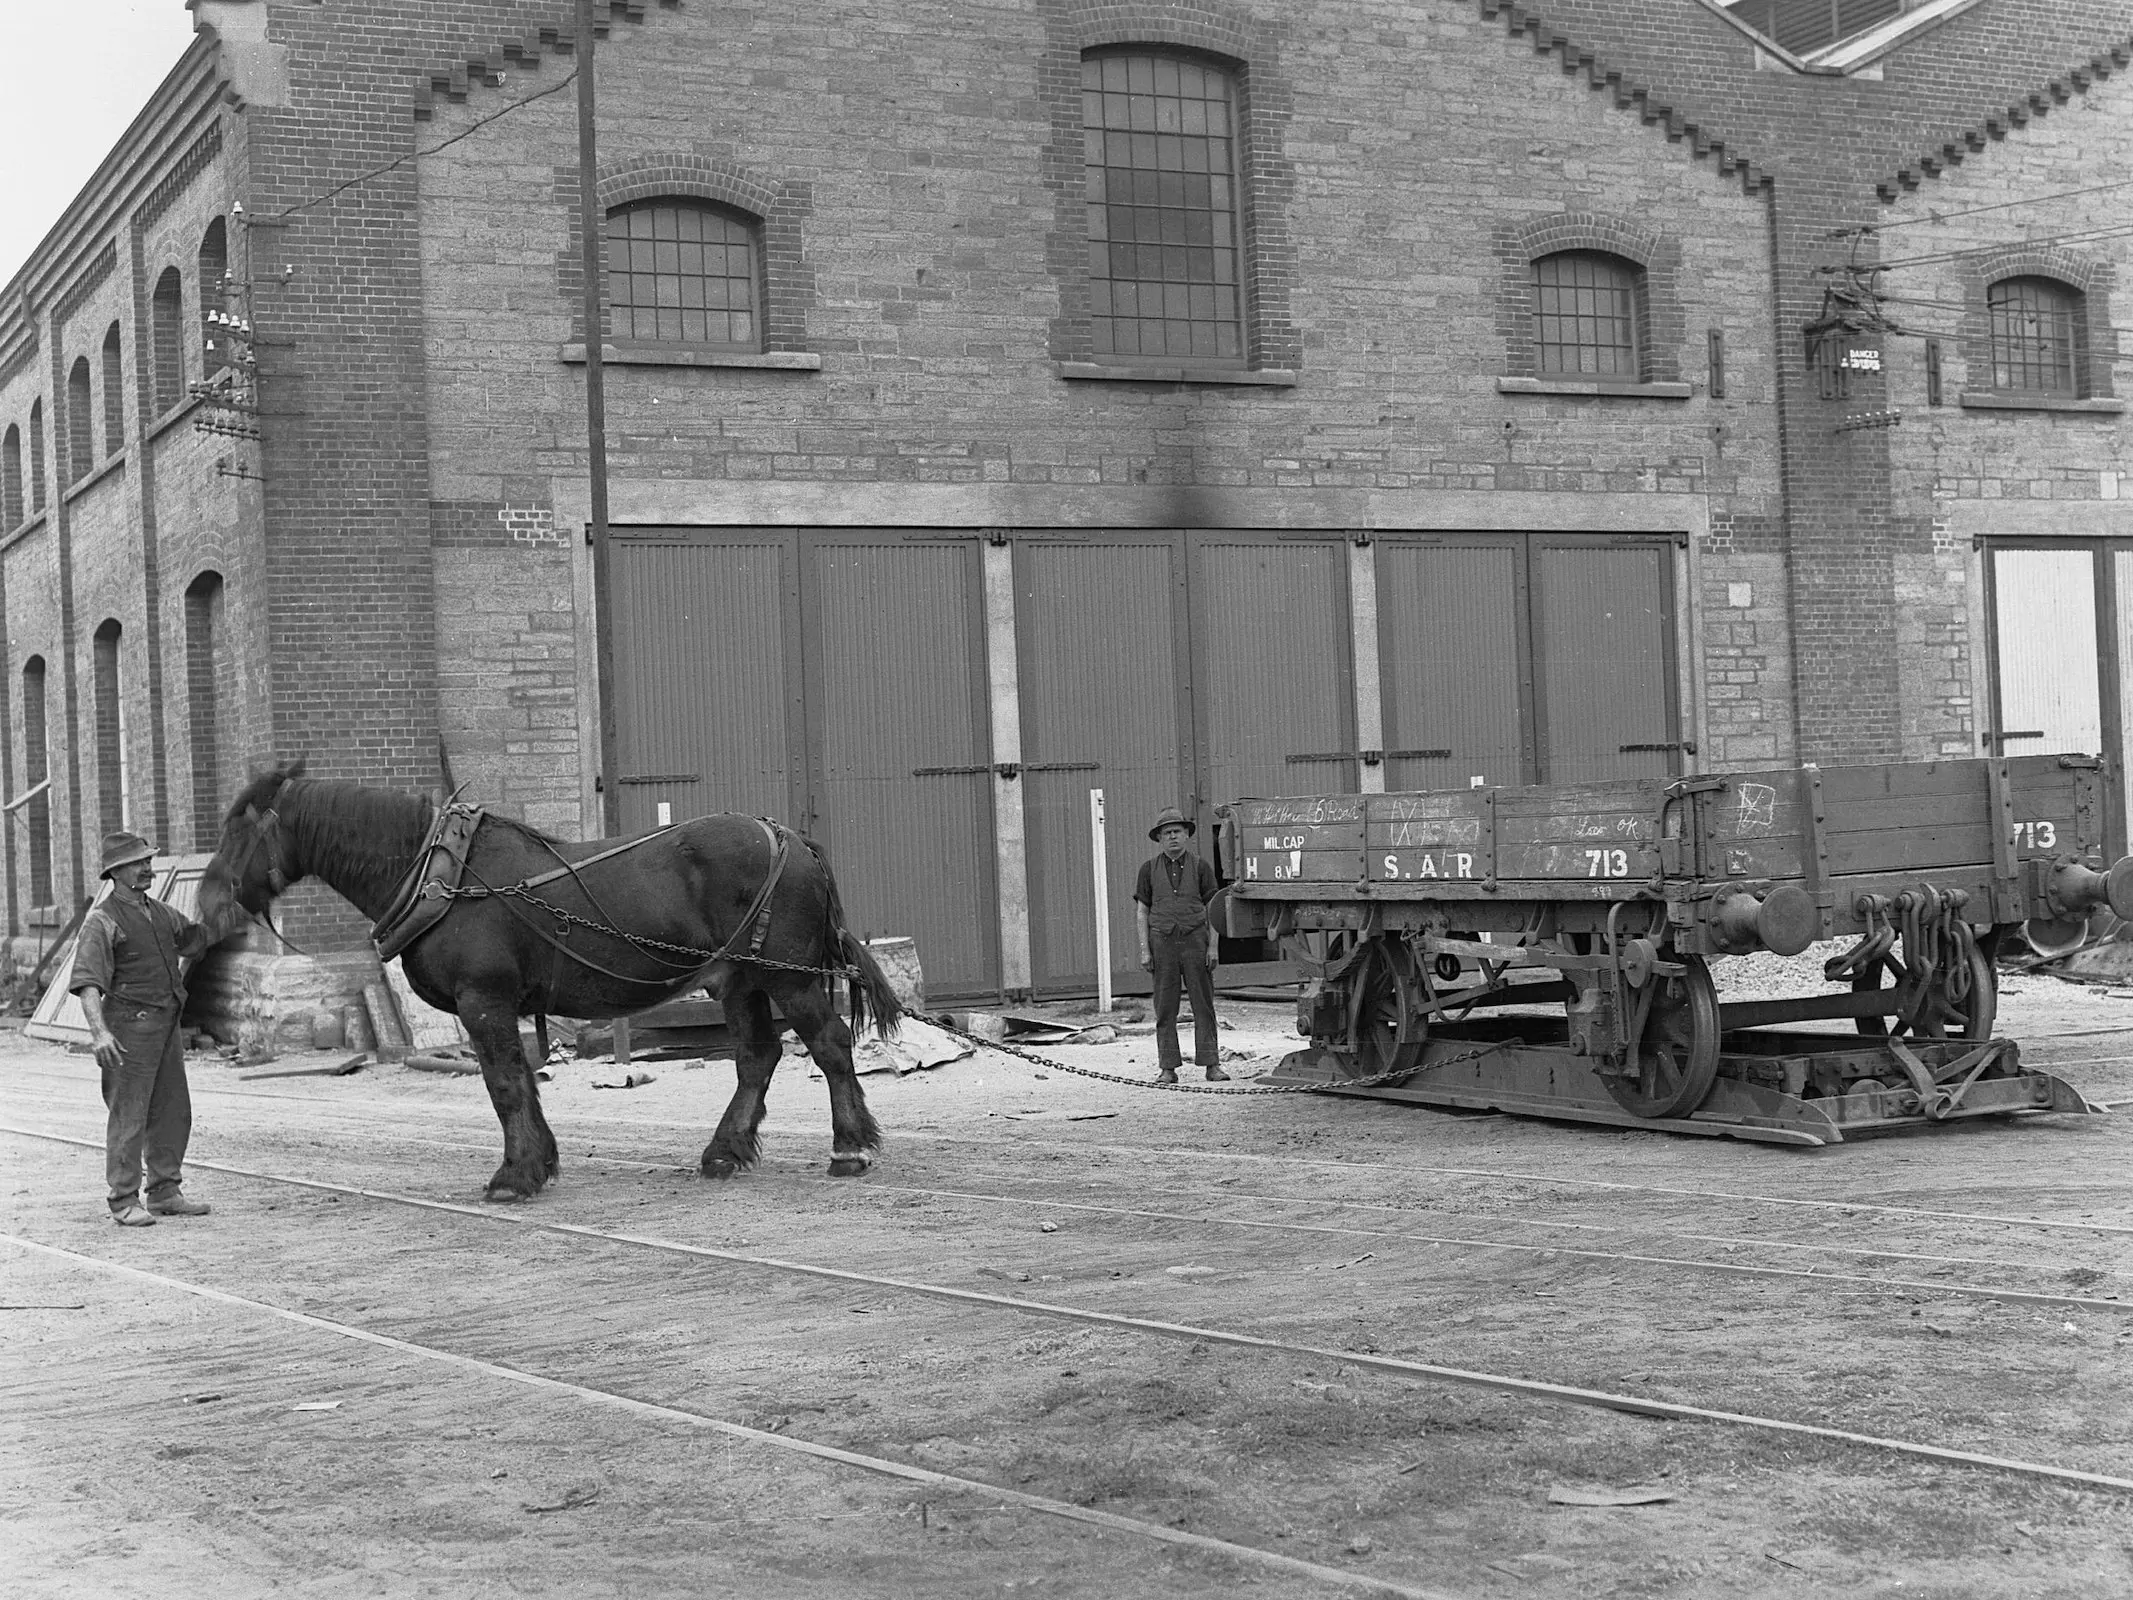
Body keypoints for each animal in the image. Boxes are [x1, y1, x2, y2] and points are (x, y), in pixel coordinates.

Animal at [200, 763, 900, 1203]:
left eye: (239, 828)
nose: (206, 901)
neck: (442, 877)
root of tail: (790, 838)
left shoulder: (484, 1000)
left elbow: (505, 1086)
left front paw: (514, 1175)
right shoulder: (498, 1007)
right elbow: (523, 1083)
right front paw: (539, 1162)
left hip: (787, 978)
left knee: (829, 1045)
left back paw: (848, 1149)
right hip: (741, 980)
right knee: (758, 1056)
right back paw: (724, 1151)